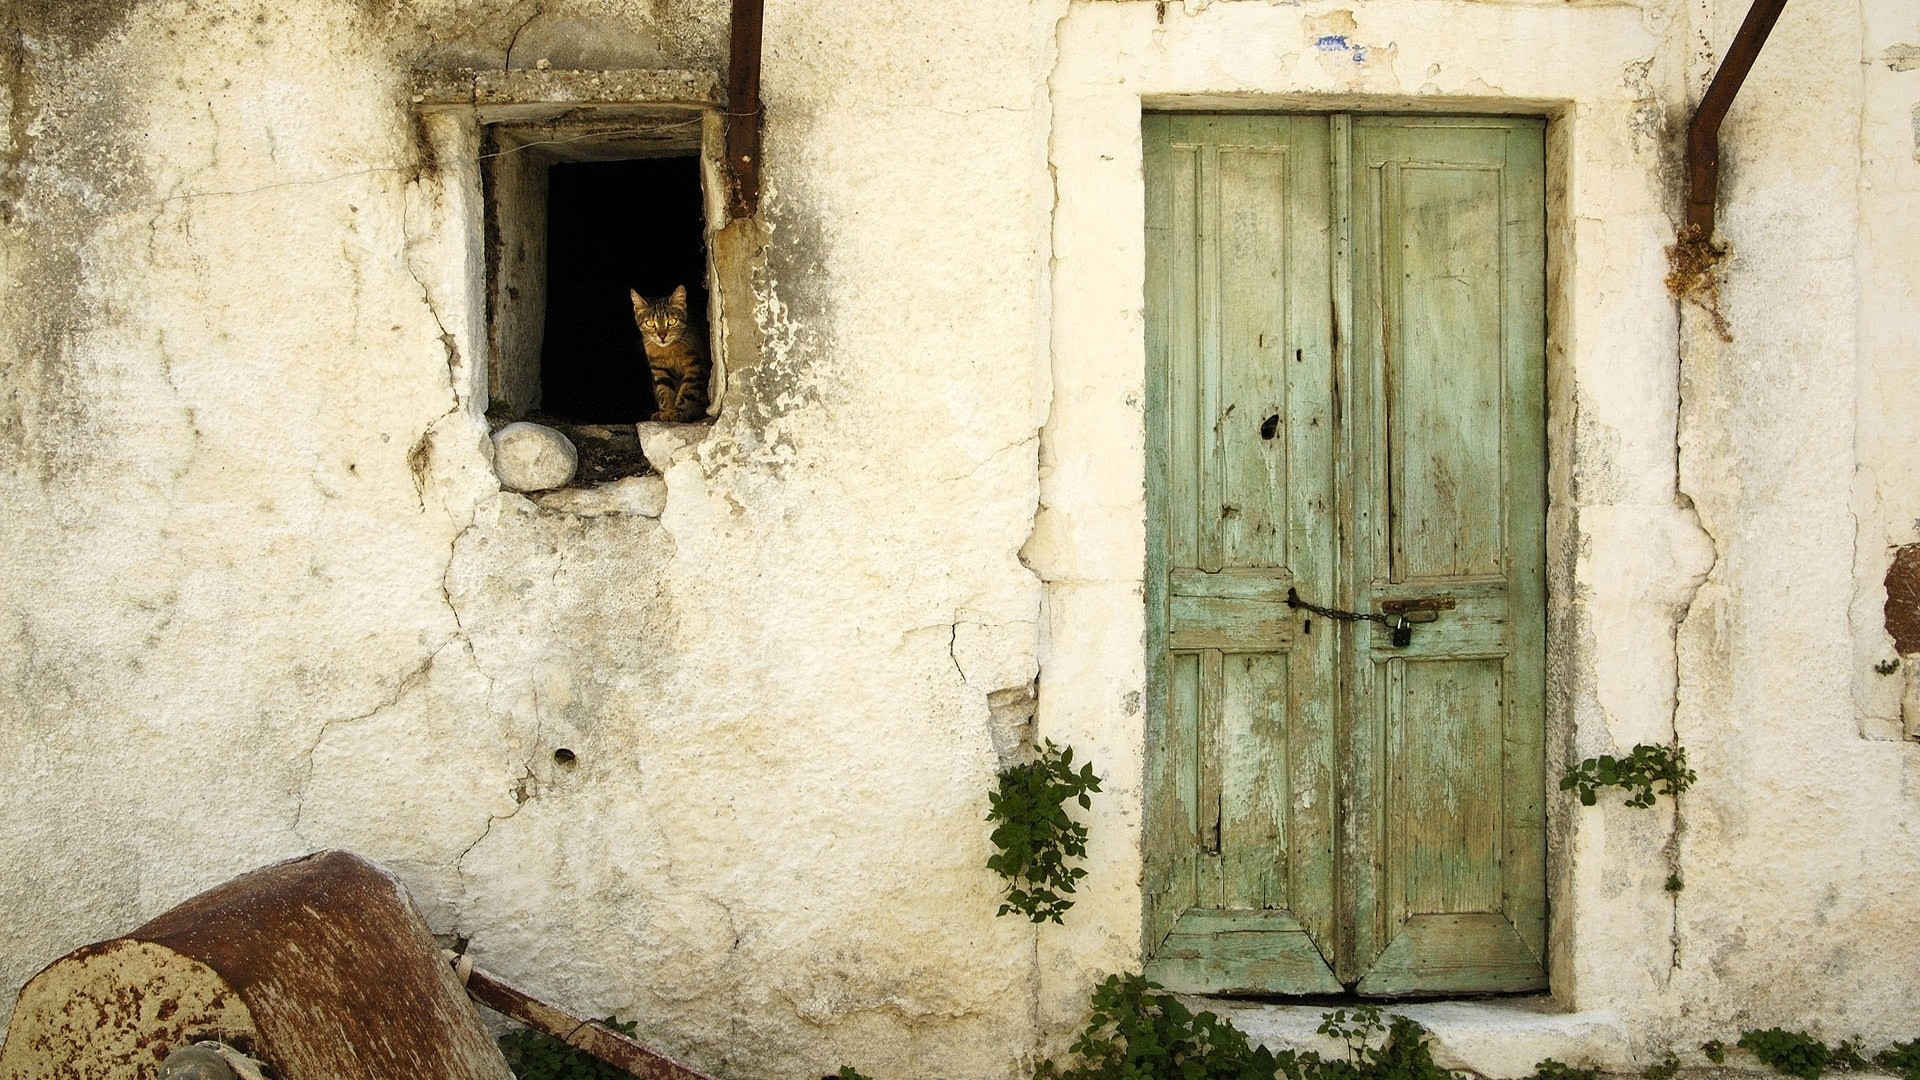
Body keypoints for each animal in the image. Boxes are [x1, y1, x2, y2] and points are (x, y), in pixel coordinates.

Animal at [629, 282, 714, 420]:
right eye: (650, 323)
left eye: (672, 321)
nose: (662, 336)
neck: (668, 351)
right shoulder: (660, 369)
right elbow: (664, 391)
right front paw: (666, 412)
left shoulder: (696, 367)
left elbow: (687, 391)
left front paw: (679, 412)